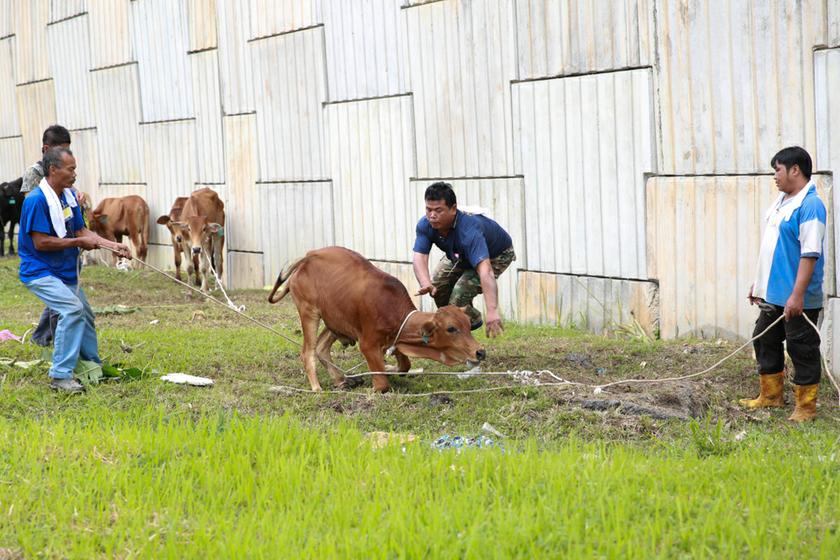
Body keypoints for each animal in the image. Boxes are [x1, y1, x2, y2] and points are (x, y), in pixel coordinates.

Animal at [268, 246, 486, 393]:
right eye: (451, 328)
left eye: (468, 325)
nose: (480, 351)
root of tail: (307, 257)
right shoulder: (368, 344)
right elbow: (382, 385)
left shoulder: (393, 342)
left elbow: (404, 367)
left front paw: (389, 368)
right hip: (309, 312)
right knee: (308, 351)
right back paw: (317, 388)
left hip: (335, 319)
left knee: (321, 348)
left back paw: (341, 380)